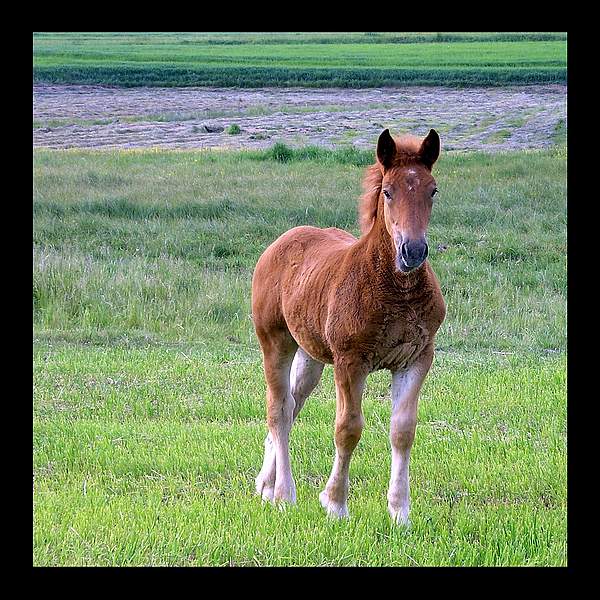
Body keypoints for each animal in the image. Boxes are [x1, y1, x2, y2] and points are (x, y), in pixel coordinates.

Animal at [250, 129, 446, 524]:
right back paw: (284, 494)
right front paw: (336, 503)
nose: (413, 251)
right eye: (388, 191)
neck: (395, 288)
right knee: (279, 409)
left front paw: (400, 512)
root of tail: (280, 242)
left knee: (293, 405)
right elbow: (348, 429)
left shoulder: (417, 359)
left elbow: (403, 430)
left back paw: (266, 484)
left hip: (310, 355)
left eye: (432, 190)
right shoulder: (350, 361)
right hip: (276, 342)